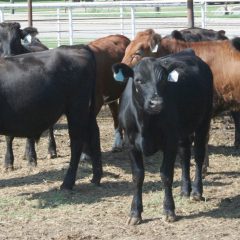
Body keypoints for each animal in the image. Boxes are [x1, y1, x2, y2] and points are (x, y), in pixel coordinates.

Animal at [0, 21, 56, 170]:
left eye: (16, 39)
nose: (7, 56)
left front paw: (32, 158)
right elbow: (9, 136)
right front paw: (8, 161)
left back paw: (51, 150)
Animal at [0, 44, 102, 188]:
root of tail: (78, 47)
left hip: (77, 107)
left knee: (77, 140)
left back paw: (67, 183)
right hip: (87, 110)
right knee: (93, 134)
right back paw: (96, 178)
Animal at [112, 49, 214, 224]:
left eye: (164, 80)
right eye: (139, 80)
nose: (157, 103)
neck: (145, 122)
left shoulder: (169, 141)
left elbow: (166, 175)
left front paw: (169, 210)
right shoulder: (130, 143)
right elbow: (137, 176)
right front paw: (135, 213)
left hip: (203, 121)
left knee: (199, 156)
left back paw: (196, 191)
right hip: (183, 131)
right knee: (185, 155)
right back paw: (185, 190)